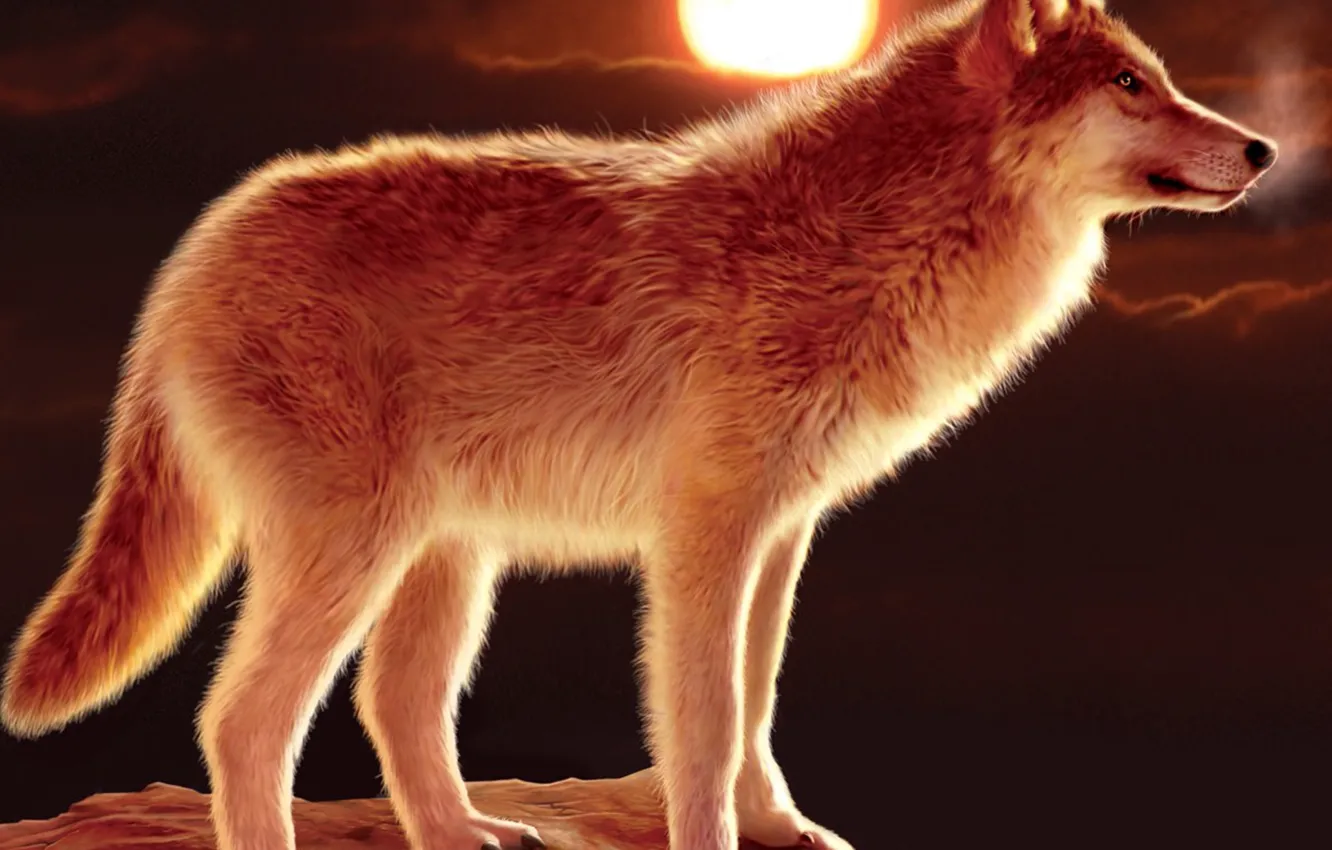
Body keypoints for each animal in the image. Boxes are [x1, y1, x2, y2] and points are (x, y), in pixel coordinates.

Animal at [2, 0, 1275, 848]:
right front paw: (716, 834)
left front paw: (782, 827)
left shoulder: (782, 535)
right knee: (244, 722)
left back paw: (466, 831)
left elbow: (757, 702)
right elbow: (702, 723)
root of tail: (193, 252)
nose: (1264, 148)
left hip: (446, 561)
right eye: (1128, 85)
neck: (865, 232)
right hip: (355, 552)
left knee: (393, 704)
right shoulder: (705, 534)